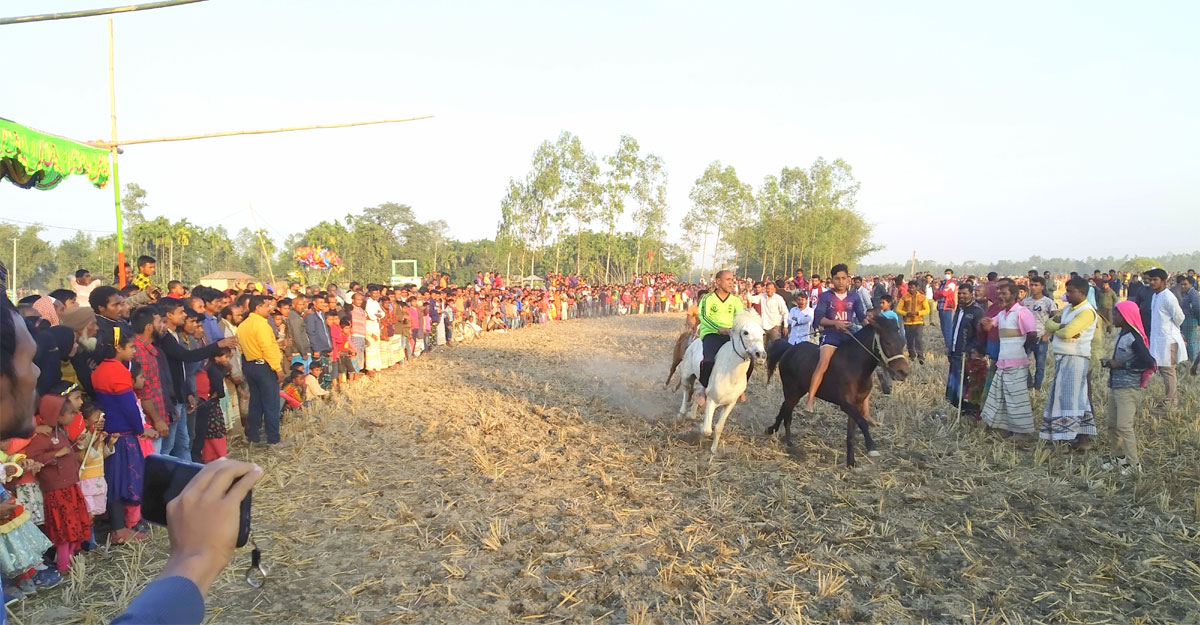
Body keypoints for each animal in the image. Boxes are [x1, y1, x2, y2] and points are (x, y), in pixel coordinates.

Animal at [675, 310, 768, 452]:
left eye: (763, 333)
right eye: (745, 332)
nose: (761, 355)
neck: (730, 375)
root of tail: (695, 340)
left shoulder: (730, 404)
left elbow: (719, 427)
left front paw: (714, 449)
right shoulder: (711, 401)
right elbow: (707, 430)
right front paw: (701, 428)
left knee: (697, 392)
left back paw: (692, 412)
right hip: (686, 376)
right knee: (686, 391)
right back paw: (681, 415)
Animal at [765, 313, 910, 467]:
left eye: (902, 342)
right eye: (887, 342)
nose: (903, 372)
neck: (855, 365)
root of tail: (789, 348)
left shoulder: (856, 404)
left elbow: (852, 433)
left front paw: (851, 463)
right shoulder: (845, 404)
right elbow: (863, 423)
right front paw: (871, 447)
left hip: (797, 391)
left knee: (784, 407)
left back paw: (773, 430)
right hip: (791, 390)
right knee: (787, 411)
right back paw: (789, 442)